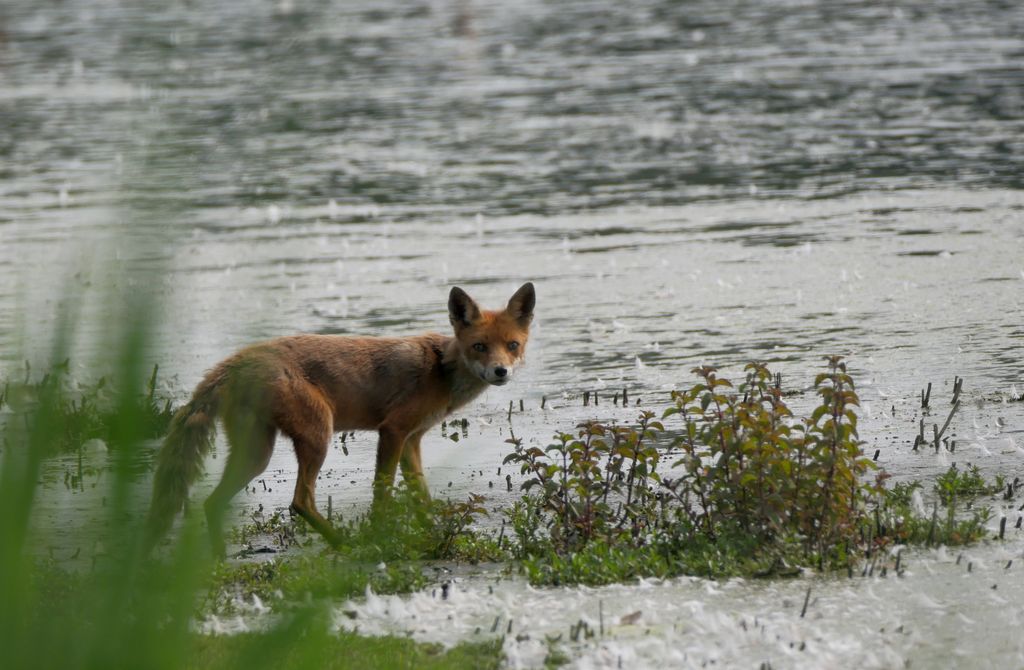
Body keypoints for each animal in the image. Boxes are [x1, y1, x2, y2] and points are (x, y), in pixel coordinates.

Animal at [148, 282, 540, 557]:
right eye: (479, 347)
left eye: (513, 345)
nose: (501, 371)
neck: (440, 369)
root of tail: (238, 359)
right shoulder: (393, 431)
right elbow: (383, 491)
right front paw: (381, 536)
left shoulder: (412, 439)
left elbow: (421, 497)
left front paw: (433, 532)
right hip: (317, 434)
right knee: (299, 501)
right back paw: (345, 544)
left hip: (256, 453)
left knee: (212, 502)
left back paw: (216, 559)